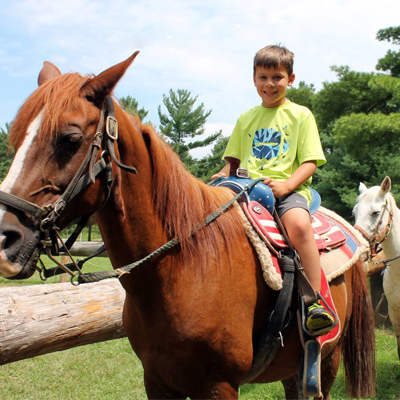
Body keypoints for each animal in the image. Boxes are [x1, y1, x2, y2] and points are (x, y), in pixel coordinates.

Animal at [0, 54, 376, 400]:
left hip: (327, 361)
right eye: (16, 138)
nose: (6, 239)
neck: (184, 267)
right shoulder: (157, 380)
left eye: (70, 138)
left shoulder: (218, 384)